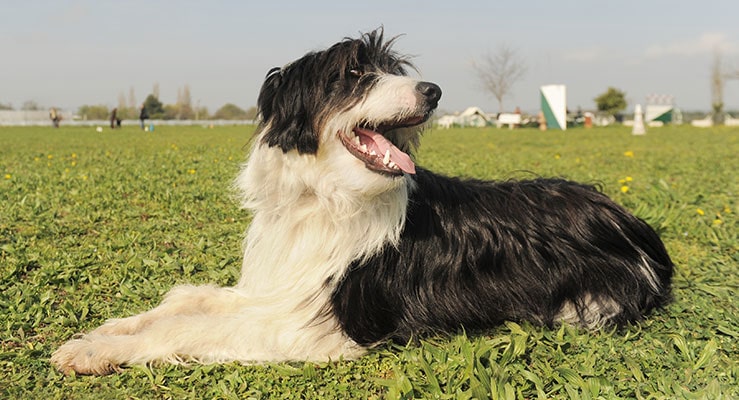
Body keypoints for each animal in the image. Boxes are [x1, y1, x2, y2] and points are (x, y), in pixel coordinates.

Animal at [52, 28, 672, 376]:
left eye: (395, 72)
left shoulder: (317, 328)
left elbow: (189, 327)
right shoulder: (279, 288)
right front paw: (103, 334)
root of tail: (632, 222)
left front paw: (96, 352)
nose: (434, 91)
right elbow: (186, 300)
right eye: (354, 73)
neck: (323, 197)